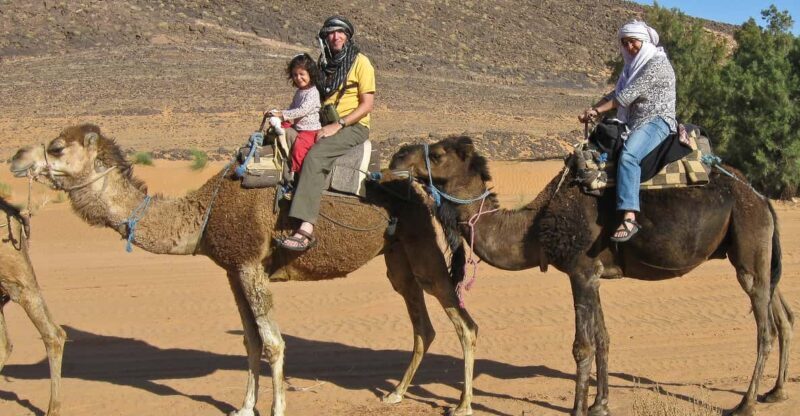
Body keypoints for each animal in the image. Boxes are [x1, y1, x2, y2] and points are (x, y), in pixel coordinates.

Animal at [9, 124, 479, 416]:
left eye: (57, 148)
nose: (15, 157)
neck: (203, 213)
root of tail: (421, 189)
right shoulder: (233, 270)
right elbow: (250, 342)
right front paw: (244, 406)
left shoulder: (251, 264)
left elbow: (273, 343)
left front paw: (277, 407)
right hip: (397, 257)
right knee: (423, 325)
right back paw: (396, 394)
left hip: (422, 247)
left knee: (464, 322)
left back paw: (463, 404)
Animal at [389, 136, 794, 416]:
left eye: (437, 154)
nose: (397, 156)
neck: (534, 227)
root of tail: (761, 198)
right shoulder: (595, 274)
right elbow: (603, 338)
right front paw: (601, 404)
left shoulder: (580, 270)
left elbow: (581, 345)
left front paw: (577, 409)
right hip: (754, 252)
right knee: (783, 313)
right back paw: (775, 392)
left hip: (748, 240)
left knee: (765, 328)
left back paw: (745, 404)